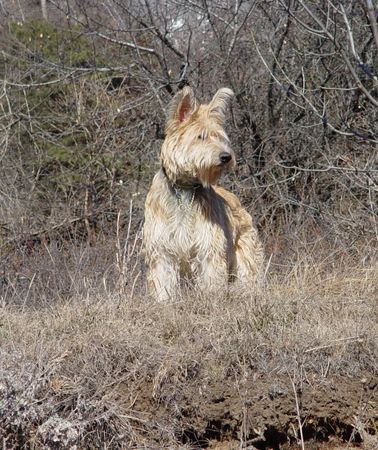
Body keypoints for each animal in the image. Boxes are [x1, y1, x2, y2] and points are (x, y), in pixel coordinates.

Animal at [143, 86, 264, 300]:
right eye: (201, 136)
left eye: (221, 137)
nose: (226, 157)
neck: (184, 189)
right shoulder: (162, 251)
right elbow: (163, 283)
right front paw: (165, 303)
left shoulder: (209, 247)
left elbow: (211, 279)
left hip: (245, 254)